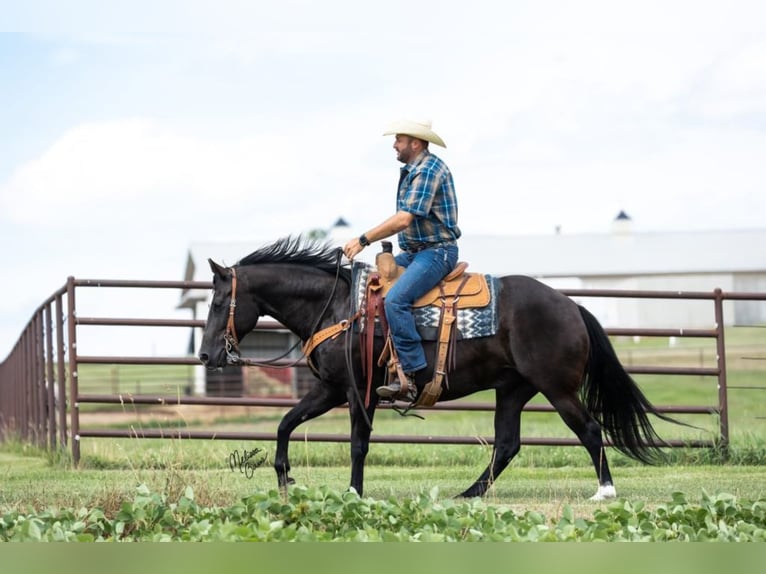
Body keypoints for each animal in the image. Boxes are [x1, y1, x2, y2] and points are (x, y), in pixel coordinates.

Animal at [198, 236, 680, 502]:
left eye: (219, 303)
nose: (205, 356)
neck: (337, 307)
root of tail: (570, 305)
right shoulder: (331, 389)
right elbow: (284, 423)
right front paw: (284, 479)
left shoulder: (358, 391)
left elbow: (358, 444)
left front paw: (353, 493)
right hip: (513, 390)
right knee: (507, 444)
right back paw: (468, 493)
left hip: (557, 389)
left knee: (590, 430)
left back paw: (605, 490)